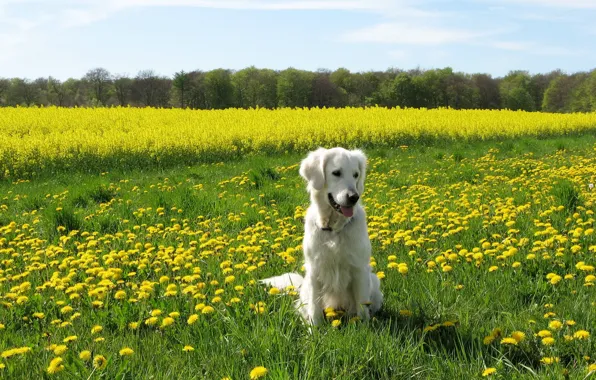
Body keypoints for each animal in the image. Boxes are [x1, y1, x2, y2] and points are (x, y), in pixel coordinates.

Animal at [262, 147, 384, 326]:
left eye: (356, 174)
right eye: (336, 173)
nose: (354, 197)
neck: (333, 228)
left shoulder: (359, 268)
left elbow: (362, 306)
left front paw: (364, 326)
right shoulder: (315, 269)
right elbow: (315, 306)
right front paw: (314, 329)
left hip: (373, 280)